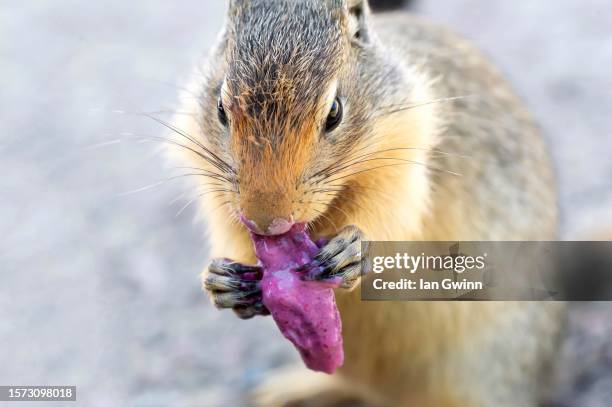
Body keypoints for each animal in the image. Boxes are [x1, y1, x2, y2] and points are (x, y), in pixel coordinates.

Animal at [167, 0, 564, 406]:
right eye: (220, 107)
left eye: (334, 112)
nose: (267, 222)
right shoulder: (212, 184)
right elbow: (228, 228)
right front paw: (219, 281)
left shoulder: (406, 160)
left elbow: (391, 218)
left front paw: (353, 248)